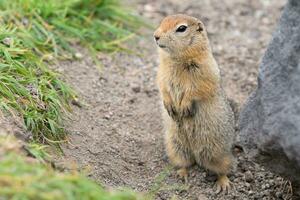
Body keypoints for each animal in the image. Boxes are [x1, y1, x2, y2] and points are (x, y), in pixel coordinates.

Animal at [155, 14, 234, 192]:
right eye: (162, 21)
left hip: (217, 152)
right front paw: (169, 105)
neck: (176, 59)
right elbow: (162, 86)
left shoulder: (204, 70)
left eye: (181, 28)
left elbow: (197, 88)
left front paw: (184, 106)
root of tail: (197, 154)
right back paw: (182, 175)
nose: (155, 36)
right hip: (175, 146)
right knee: (185, 163)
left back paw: (223, 184)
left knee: (224, 168)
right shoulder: (162, 72)